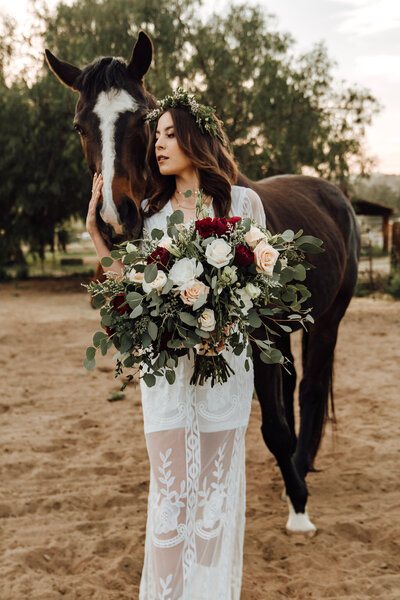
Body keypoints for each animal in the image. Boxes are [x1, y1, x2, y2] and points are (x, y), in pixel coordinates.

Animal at [45, 29, 360, 536]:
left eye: (142, 119)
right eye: (80, 126)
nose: (112, 220)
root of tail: (335, 195)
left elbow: (273, 426)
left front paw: (298, 505)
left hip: (327, 321)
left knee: (310, 391)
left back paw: (299, 474)